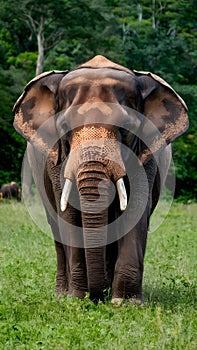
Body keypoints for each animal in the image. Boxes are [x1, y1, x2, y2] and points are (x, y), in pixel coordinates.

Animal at [12, 54, 188, 304]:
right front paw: (77, 299)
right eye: (63, 125)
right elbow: (69, 213)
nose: (95, 296)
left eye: (127, 127)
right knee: (56, 229)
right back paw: (63, 295)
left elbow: (135, 210)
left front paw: (124, 303)